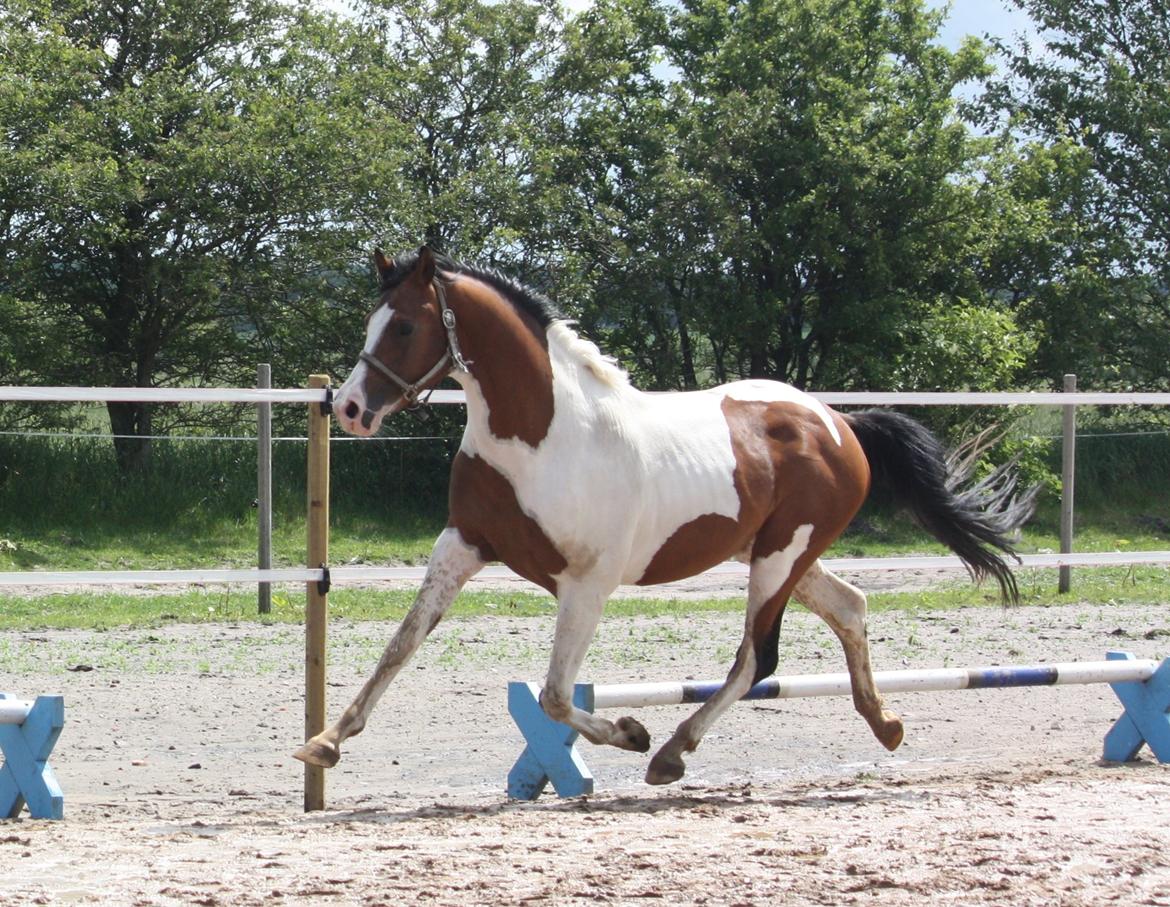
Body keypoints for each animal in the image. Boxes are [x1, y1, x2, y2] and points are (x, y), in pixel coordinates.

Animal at [294, 246, 1034, 786]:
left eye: (405, 325)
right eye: (372, 324)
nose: (352, 408)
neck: (544, 435)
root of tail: (837, 423)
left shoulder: (586, 584)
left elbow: (555, 695)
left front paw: (629, 732)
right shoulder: (463, 544)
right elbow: (401, 644)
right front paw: (325, 742)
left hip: (779, 559)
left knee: (756, 656)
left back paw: (671, 751)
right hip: (779, 553)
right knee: (849, 607)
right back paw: (885, 724)